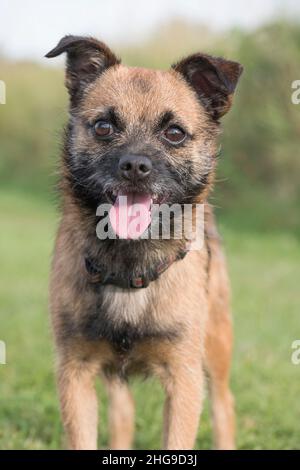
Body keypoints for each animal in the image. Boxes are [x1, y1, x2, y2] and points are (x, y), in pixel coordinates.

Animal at [45, 35, 243, 450]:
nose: (135, 166)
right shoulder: (76, 373)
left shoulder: (183, 380)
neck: (128, 263)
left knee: (224, 406)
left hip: (216, 349)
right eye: (104, 127)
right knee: (123, 414)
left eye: (175, 133)